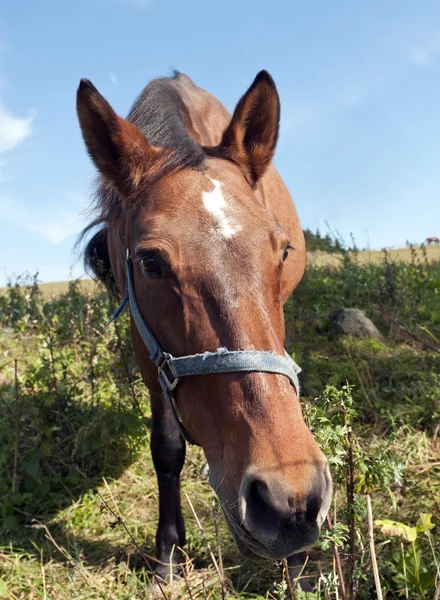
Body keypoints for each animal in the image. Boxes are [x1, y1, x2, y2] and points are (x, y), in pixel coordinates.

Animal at [77, 69, 332, 584]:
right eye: (150, 263)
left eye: (282, 250)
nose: (291, 501)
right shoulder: (145, 346)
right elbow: (167, 447)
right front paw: (168, 553)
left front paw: (297, 566)